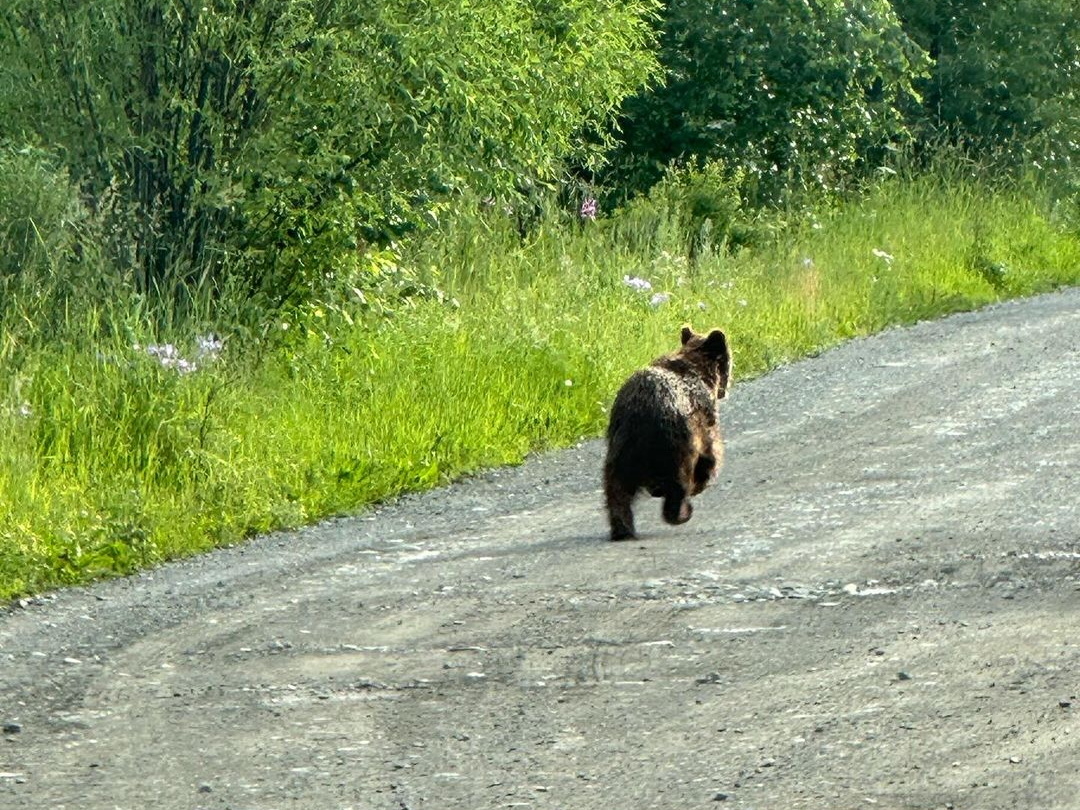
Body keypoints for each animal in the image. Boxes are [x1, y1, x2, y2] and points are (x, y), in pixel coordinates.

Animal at [604, 326, 730, 542]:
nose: (725, 390)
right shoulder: (703, 419)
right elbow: (711, 453)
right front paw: (703, 481)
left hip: (619, 447)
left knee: (615, 490)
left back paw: (622, 529)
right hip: (676, 443)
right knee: (679, 482)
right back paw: (679, 512)